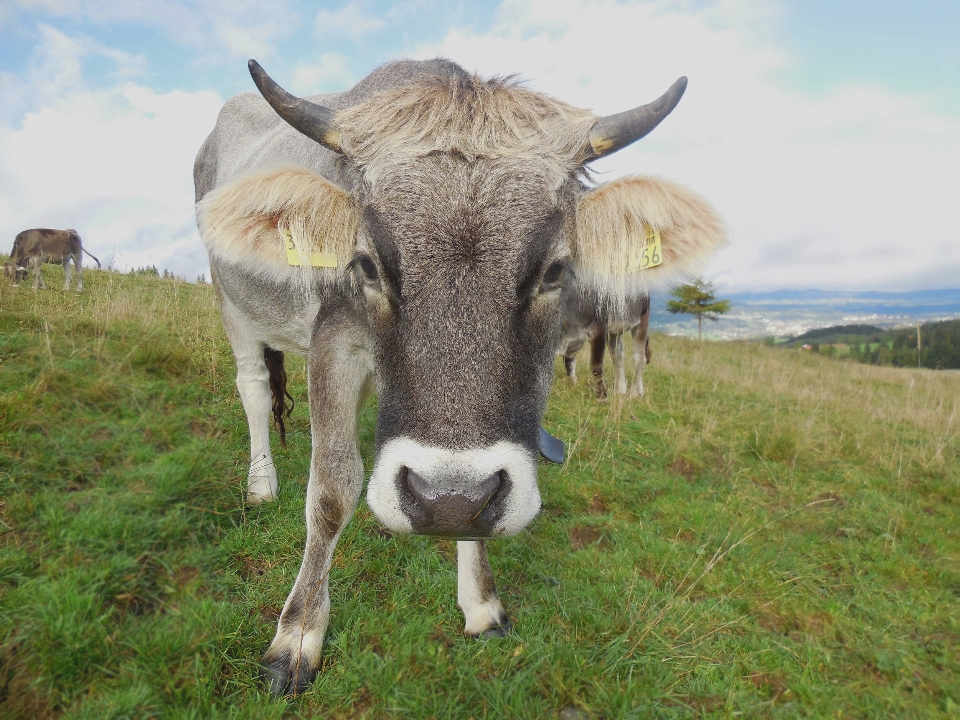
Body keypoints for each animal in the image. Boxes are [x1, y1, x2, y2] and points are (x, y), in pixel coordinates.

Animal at [193, 57, 720, 696]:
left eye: (556, 270)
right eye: (367, 263)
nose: (444, 500)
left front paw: (482, 602)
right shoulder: (334, 340)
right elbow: (332, 489)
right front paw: (296, 637)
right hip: (230, 301)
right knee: (252, 387)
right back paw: (261, 483)